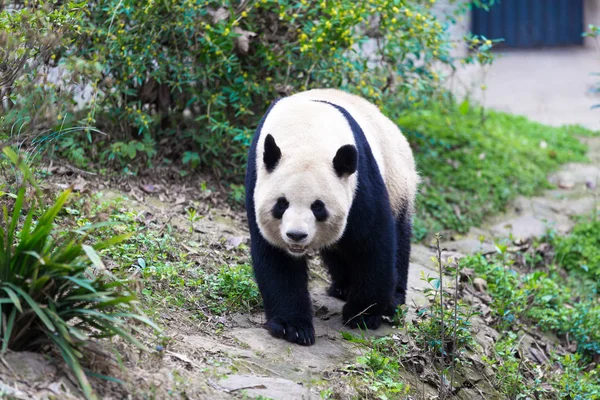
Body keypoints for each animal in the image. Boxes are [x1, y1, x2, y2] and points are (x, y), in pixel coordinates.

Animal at [244, 89, 418, 346]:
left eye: (318, 207)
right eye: (281, 204)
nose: (296, 235)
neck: (306, 130)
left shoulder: (360, 180)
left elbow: (372, 242)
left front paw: (363, 314)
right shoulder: (257, 176)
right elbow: (276, 257)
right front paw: (292, 327)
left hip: (397, 179)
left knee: (399, 235)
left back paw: (392, 300)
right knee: (338, 250)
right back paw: (342, 287)